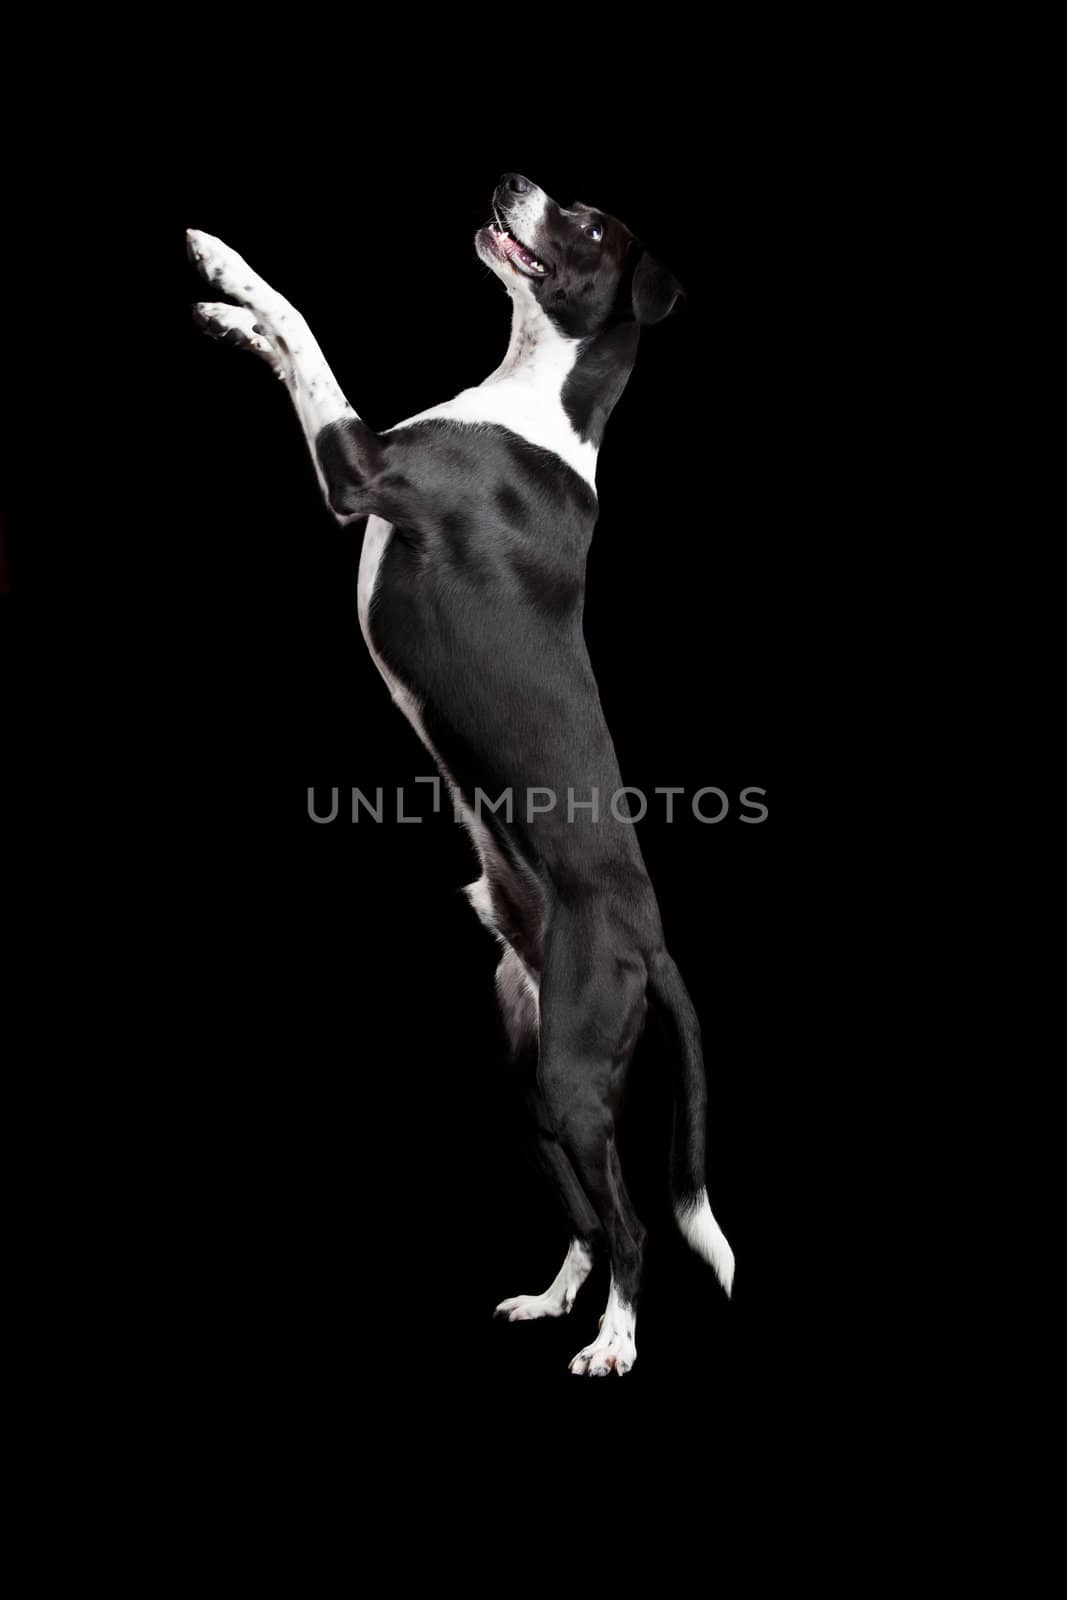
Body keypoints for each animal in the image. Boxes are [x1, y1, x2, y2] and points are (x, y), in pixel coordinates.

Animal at [187, 172, 735, 1376]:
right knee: (586, 1212)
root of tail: (651, 944)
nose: (512, 181)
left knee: (632, 1221)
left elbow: (305, 326)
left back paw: (614, 1341)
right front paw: (223, 314)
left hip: (574, 1071)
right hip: (525, 1076)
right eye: (562, 195)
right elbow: (286, 339)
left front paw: (228, 265)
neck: (534, 397)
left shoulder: (362, 470)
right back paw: (553, 1298)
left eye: (585, 224)